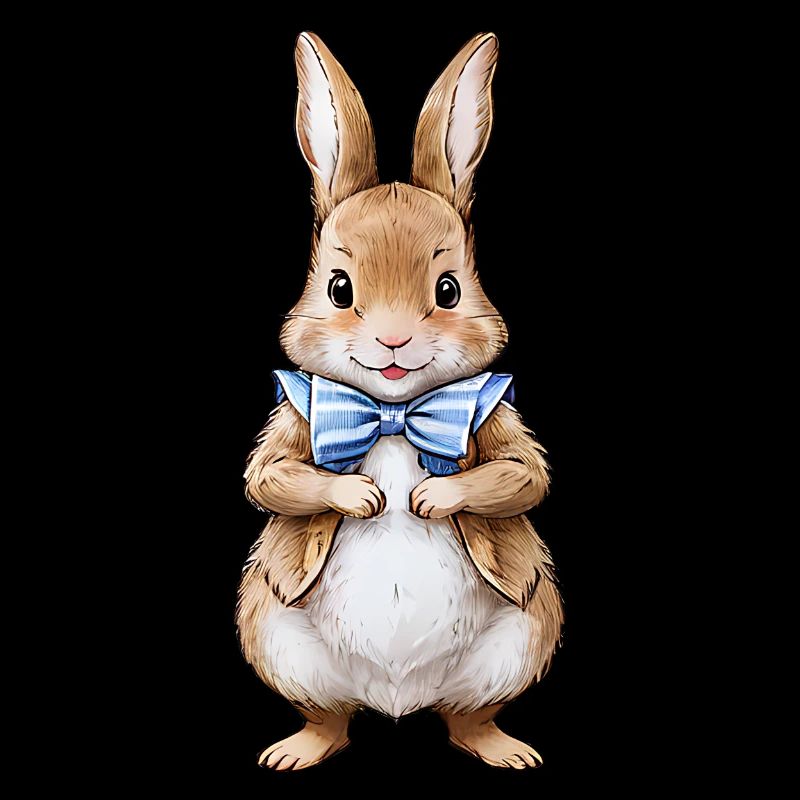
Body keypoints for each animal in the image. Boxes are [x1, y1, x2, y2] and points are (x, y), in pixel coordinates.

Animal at [237, 31, 562, 772]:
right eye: (339, 288)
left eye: (448, 289)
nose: (393, 341)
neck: (390, 415)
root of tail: (397, 700)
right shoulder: (296, 417)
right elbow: (272, 479)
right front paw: (363, 496)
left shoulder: (495, 413)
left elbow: (521, 476)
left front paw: (427, 498)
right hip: (276, 641)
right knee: (329, 717)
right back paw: (294, 751)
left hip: (523, 640)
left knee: (468, 718)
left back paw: (506, 750)